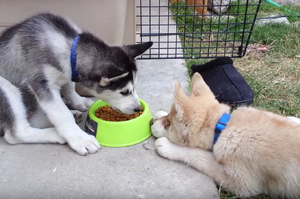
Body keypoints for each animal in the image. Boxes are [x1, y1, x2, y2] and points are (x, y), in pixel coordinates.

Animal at [151, 72, 300, 198]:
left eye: (168, 124)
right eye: (167, 120)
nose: (150, 122)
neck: (223, 126)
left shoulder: (242, 183)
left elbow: (200, 156)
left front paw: (168, 146)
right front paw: (159, 114)